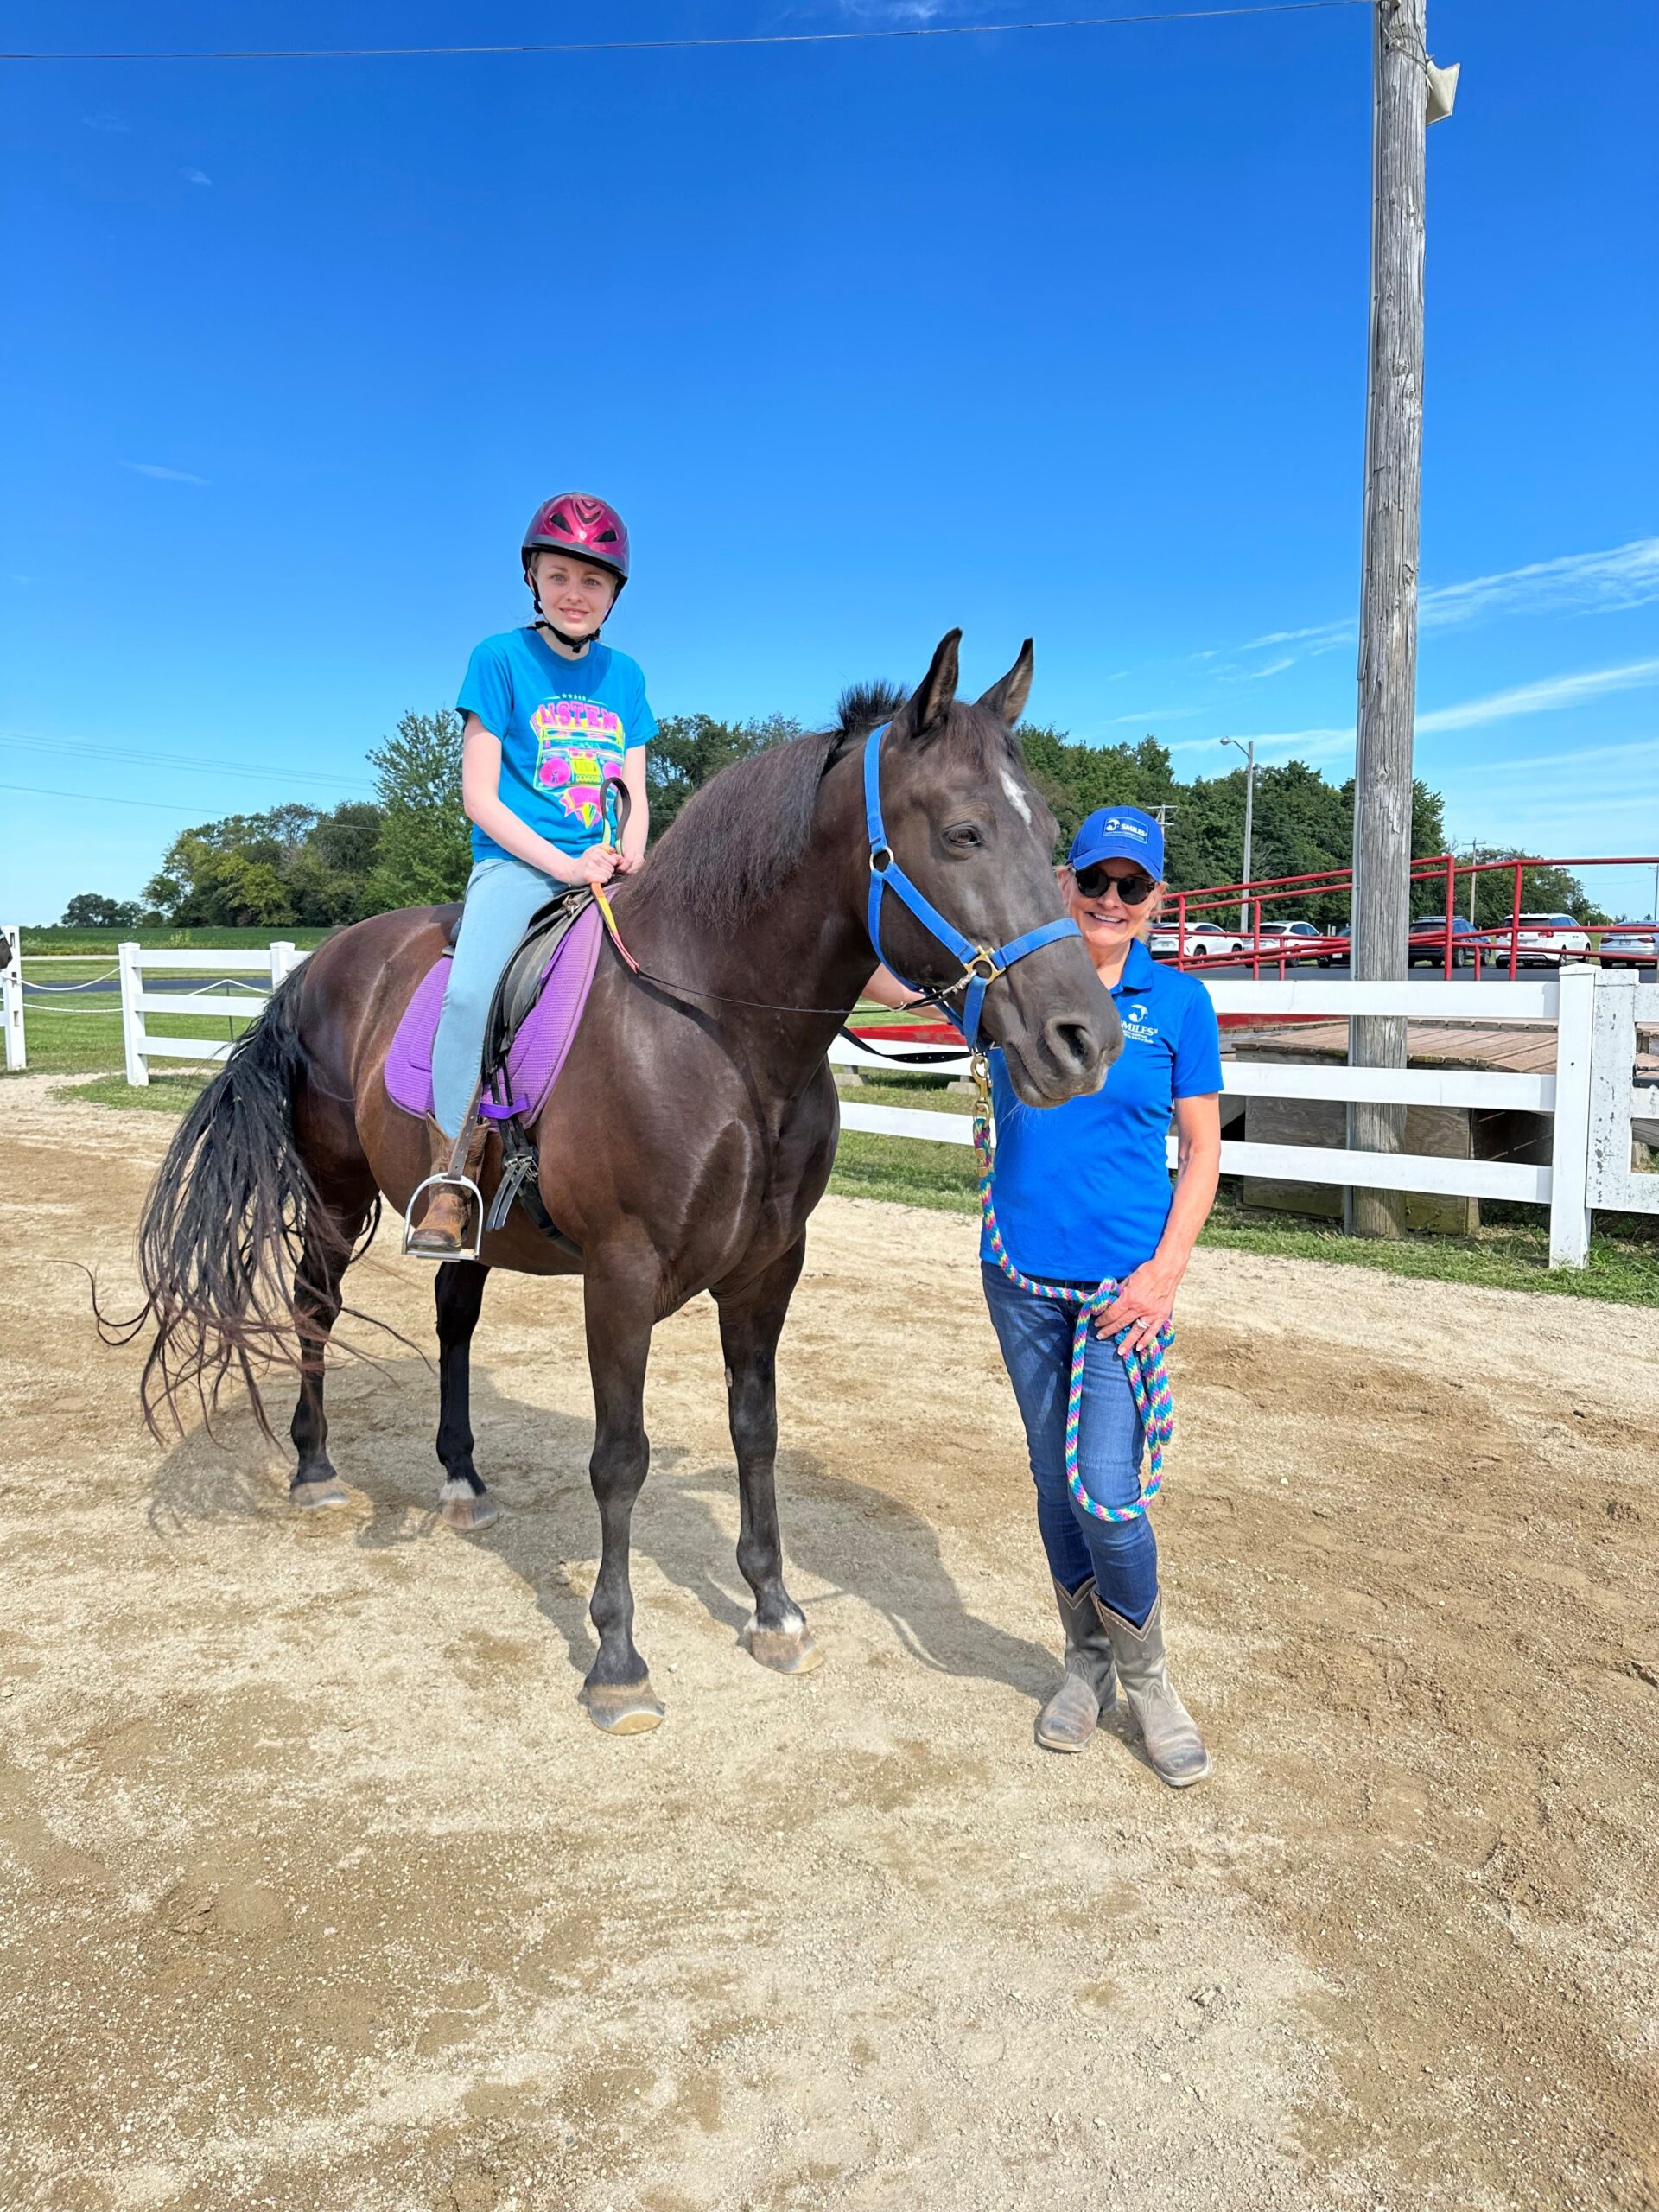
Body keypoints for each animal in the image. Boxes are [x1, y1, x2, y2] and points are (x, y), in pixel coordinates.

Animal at [128, 632, 1123, 1733]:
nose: (1086, 1040)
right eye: (961, 833)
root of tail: (317, 964)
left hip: (471, 1225)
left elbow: (757, 1432)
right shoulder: (621, 1273)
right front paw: (616, 1658)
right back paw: (314, 1469)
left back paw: (462, 1476)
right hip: (336, 1197)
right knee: (312, 1308)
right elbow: (620, 1458)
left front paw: (773, 1608)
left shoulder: (769, 1270)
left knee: (453, 1318)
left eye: (1052, 836)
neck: (720, 1029)